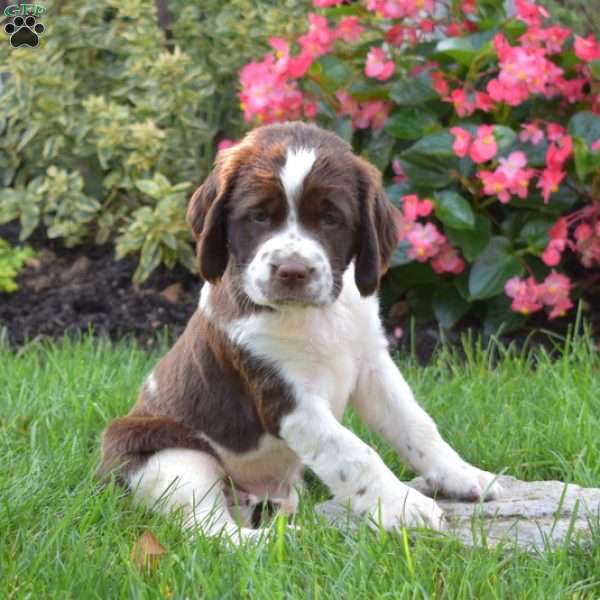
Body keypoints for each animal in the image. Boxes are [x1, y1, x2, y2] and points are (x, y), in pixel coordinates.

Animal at [99, 120, 502, 540]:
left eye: (331, 219)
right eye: (259, 216)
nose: (292, 271)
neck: (319, 315)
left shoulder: (372, 365)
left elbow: (415, 424)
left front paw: (464, 475)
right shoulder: (286, 397)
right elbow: (355, 452)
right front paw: (405, 507)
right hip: (172, 457)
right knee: (214, 531)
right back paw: (289, 539)